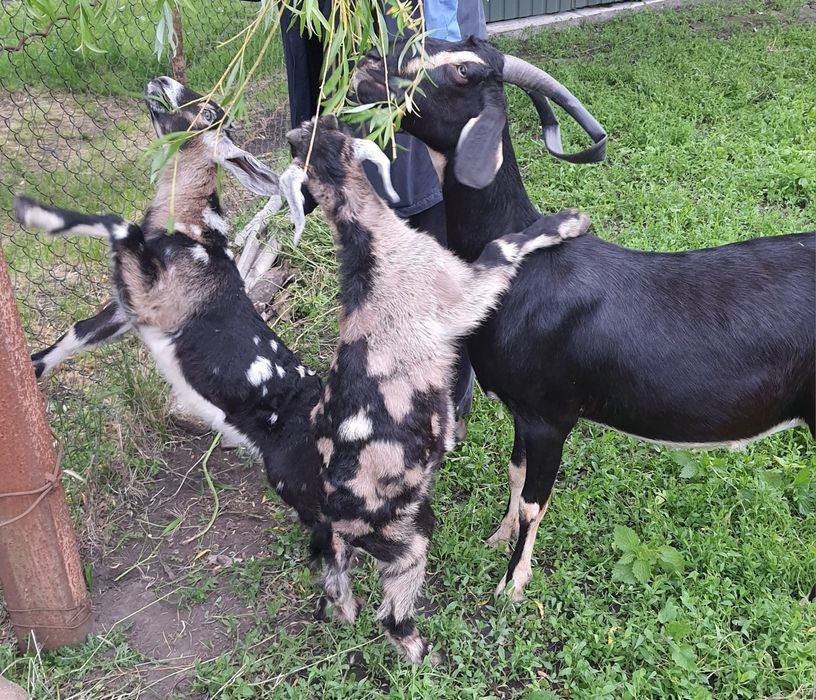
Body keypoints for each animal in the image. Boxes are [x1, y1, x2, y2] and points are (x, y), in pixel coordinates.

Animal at [15, 77, 324, 526]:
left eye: (210, 114)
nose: (163, 81)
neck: (190, 233)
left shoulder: (158, 300)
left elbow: (120, 225)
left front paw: (37, 213)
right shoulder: (131, 309)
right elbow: (80, 331)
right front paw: (33, 368)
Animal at [284, 115, 591, 662]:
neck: (371, 249)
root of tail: (336, 522)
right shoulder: (460, 290)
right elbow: (503, 247)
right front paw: (568, 222)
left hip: (350, 558)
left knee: (338, 596)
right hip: (407, 539)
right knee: (392, 614)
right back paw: (421, 652)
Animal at [354, 36, 816, 602]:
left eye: (462, 70)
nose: (366, 66)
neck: (526, 268)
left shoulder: (552, 414)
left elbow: (536, 501)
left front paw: (511, 587)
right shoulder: (522, 409)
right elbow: (515, 473)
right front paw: (497, 538)